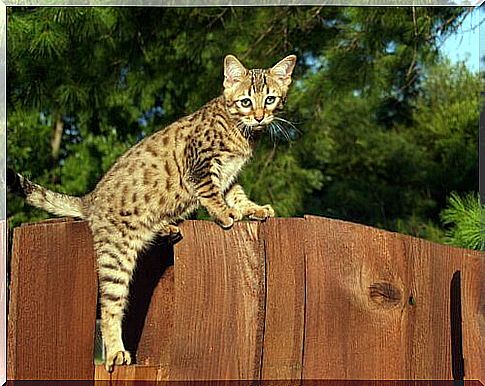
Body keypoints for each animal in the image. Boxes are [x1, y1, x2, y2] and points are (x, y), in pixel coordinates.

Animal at [7, 53, 294, 370]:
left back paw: (165, 226)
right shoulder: (200, 166)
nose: (259, 116)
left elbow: (236, 194)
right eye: (245, 101)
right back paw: (116, 351)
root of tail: (91, 199)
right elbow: (212, 194)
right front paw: (225, 214)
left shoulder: (228, 175)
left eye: (270, 99)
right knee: (109, 307)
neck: (240, 130)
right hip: (115, 257)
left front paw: (253, 209)